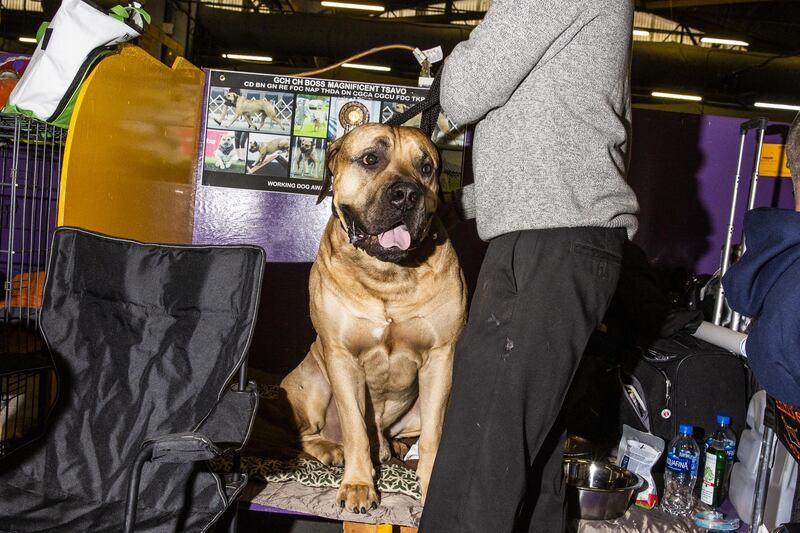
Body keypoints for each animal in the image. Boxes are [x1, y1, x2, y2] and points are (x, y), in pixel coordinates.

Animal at [282, 122, 468, 510]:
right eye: (370, 159)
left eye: (426, 168)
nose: (407, 195)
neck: (388, 275)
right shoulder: (341, 357)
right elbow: (354, 427)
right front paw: (357, 485)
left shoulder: (441, 357)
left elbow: (434, 431)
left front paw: (430, 479)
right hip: (315, 384)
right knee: (302, 435)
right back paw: (332, 449)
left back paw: (390, 446)